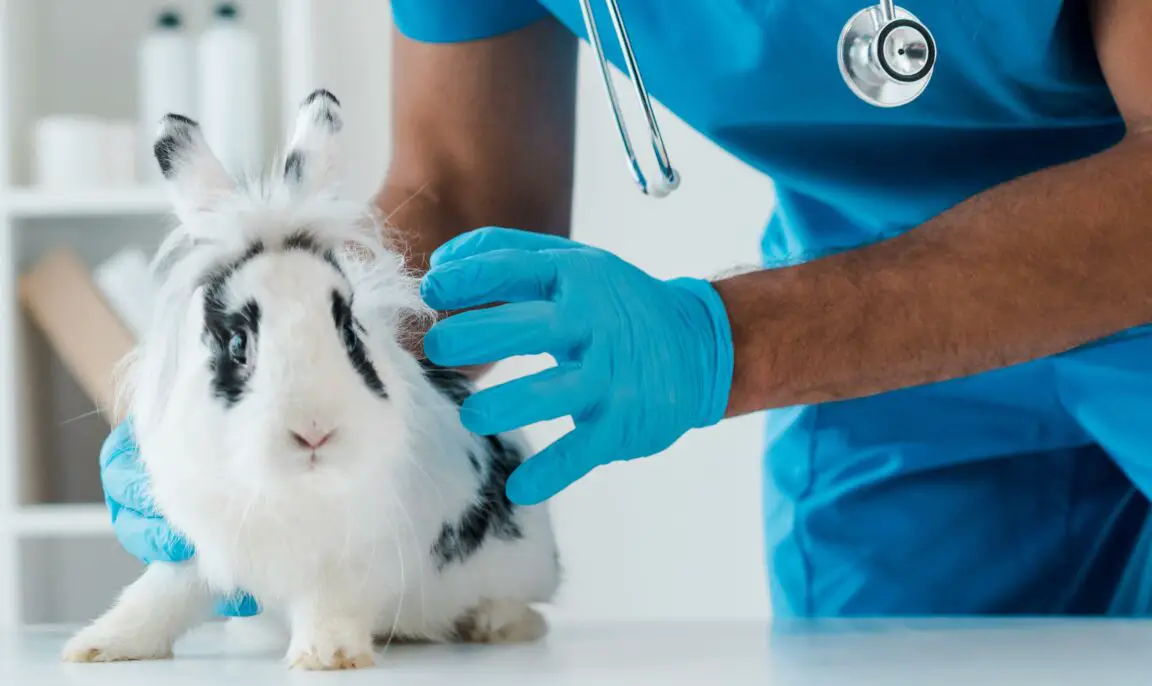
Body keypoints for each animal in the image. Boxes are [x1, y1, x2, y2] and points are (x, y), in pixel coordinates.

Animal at [61, 89, 562, 670]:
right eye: (238, 344)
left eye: (350, 332)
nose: (315, 432)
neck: (289, 489)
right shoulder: (195, 547)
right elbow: (158, 597)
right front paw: (99, 646)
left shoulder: (348, 560)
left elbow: (330, 603)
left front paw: (328, 657)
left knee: (526, 609)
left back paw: (492, 624)